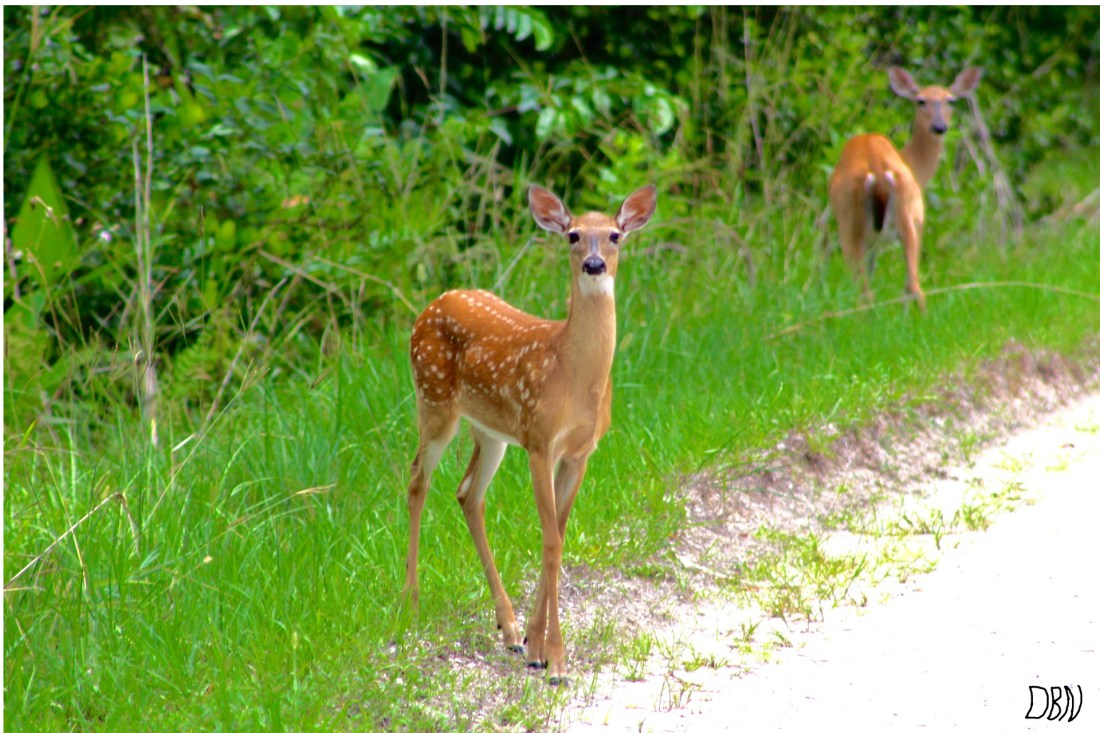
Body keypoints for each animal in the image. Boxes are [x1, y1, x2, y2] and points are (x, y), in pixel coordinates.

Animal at [402, 183, 657, 685]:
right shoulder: (540, 441)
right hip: (435, 401)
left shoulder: (580, 453)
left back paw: (509, 628)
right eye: (573, 235)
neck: (573, 376)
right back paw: (412, 601)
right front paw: (556, 659)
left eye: (615, 235)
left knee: (467, 493)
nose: (593, 264)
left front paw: (537, 646)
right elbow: (551, 539)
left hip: (491, 432)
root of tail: (431, 305)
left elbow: (557, 531)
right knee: (417, 479)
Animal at [828, 66, 981, 311]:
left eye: (950, 100)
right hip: (903, 217)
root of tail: (877, 167)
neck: (911, 162)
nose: (939, 126)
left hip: (856, 221)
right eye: (920, 100)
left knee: (874, 290)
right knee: (908, 287)